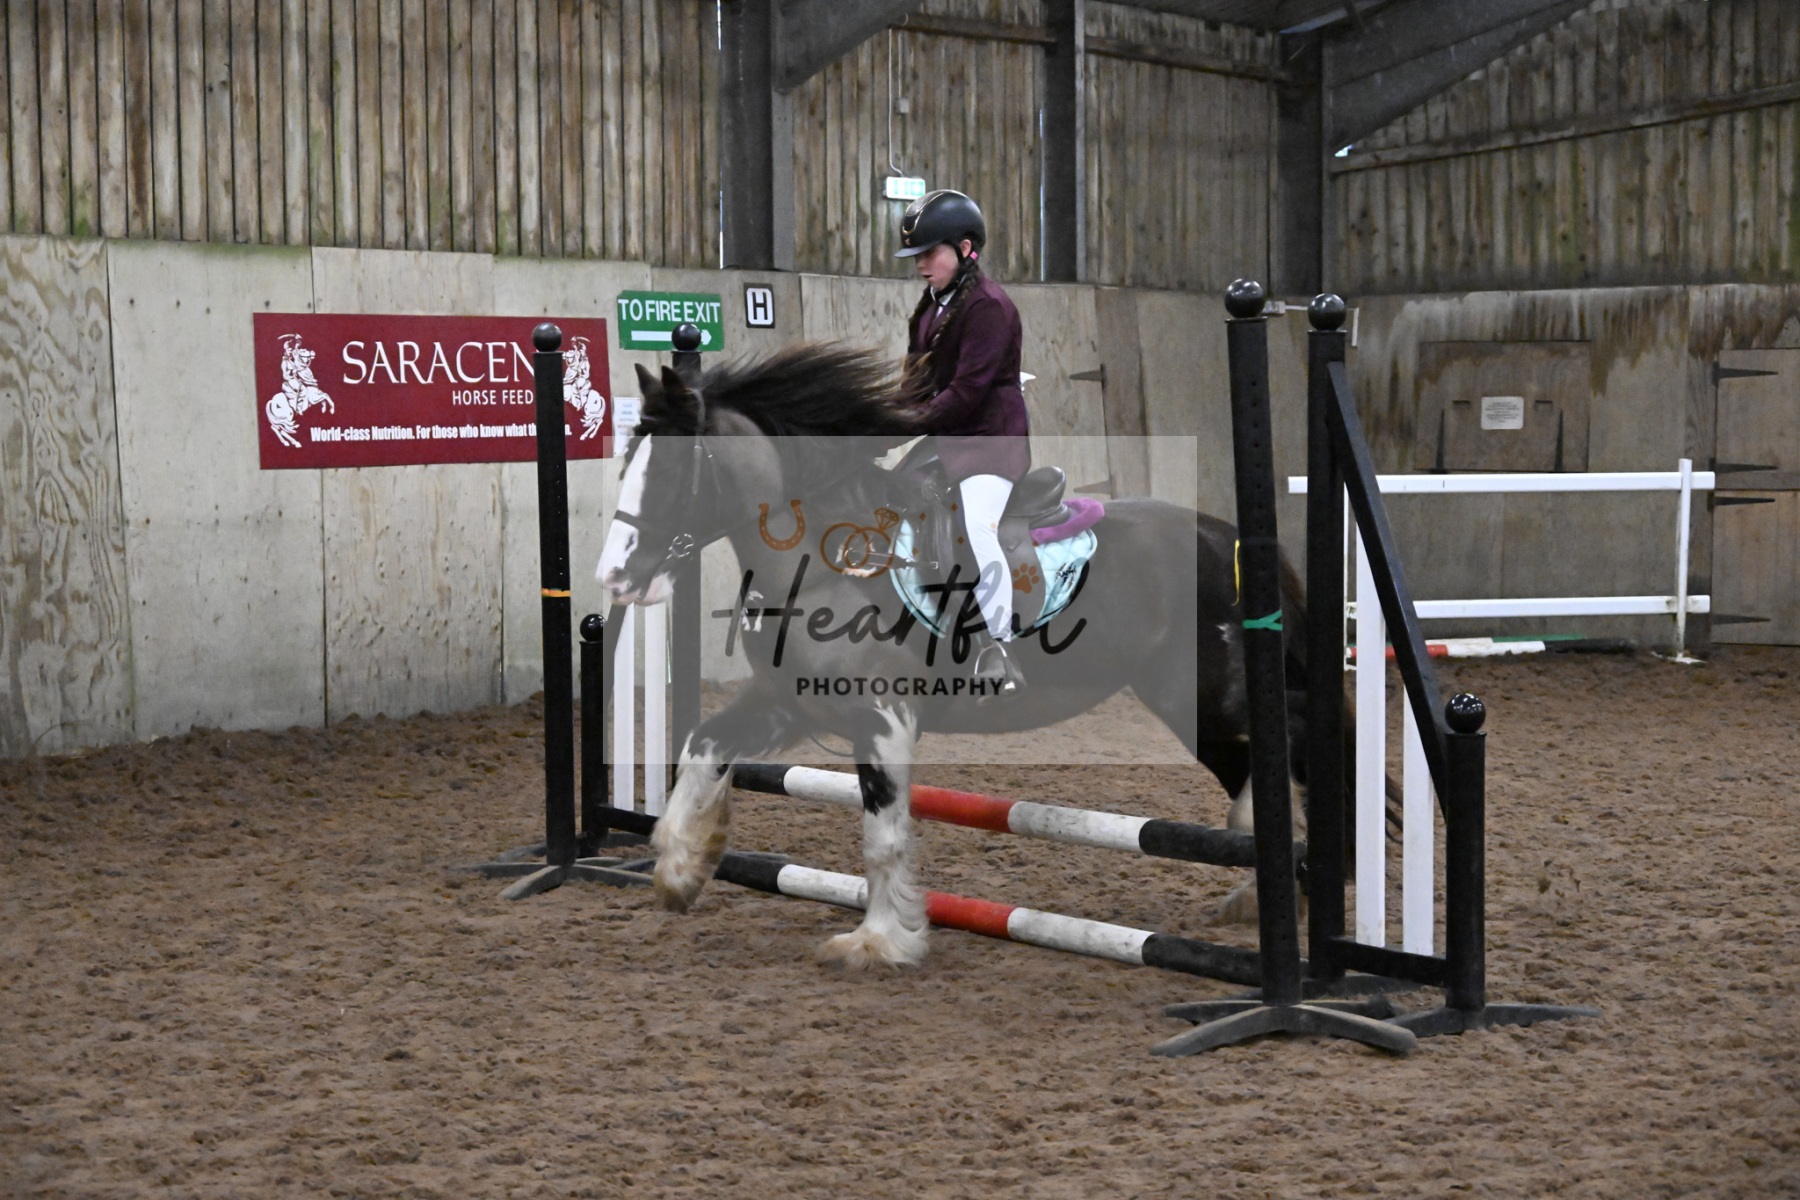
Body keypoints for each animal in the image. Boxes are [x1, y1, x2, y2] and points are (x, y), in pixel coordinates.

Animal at [596, 343, 1333, 969]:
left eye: (667, 473)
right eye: (626, 464)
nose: (614, 577)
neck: (829, 564)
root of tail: (1223, 534)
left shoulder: (882, 718)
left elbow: (882, 835)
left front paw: (879, 942)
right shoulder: (787, 703)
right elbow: (702, 744)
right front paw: (681, 869)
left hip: (1207, 696)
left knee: (1292, 745)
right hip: (1190, 706)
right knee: (1251, 777)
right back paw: (1260, 893)